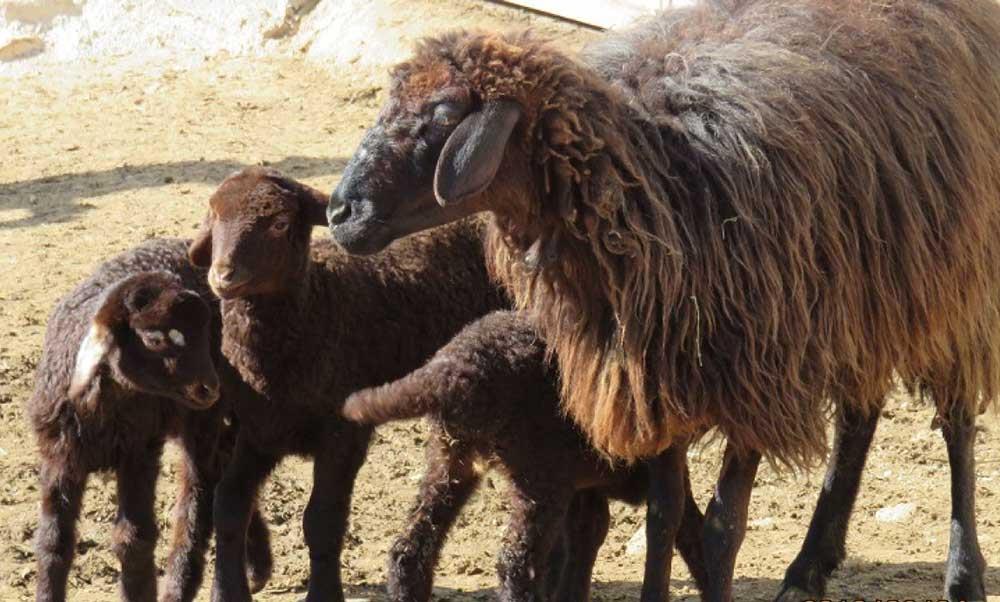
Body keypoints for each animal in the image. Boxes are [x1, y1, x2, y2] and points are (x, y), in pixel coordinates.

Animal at [29, 239, 272, 600]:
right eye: (155, 339)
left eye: (204, 331)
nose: (209, 387)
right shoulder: (60, 454)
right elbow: (53, 542)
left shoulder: (139, 452)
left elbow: (134, 540)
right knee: (224, 472)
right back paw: (257, 567)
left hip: (204, 421)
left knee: (198, 493)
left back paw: (180, 585)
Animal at [328, 1, 1000, 600]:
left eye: (442, 113)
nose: (340, 212)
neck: (656, 182)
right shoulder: (658, 372)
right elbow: (663, 514)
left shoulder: (754, 372)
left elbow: (725, 527)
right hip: (870, 296)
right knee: (860, 414)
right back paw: (809, 567)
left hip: (956, 287)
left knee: (956, 425)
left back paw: (962, 575)